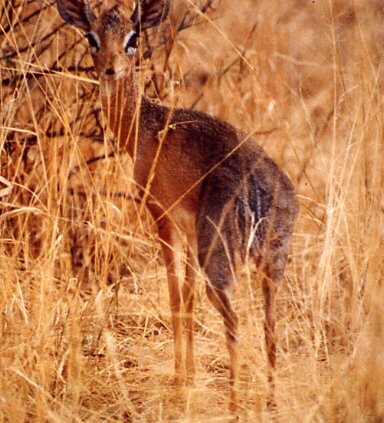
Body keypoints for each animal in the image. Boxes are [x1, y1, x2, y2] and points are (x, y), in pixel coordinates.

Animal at [55, 0, 298, 412]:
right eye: (91, 36)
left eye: (133, 38)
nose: (111, 68)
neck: (144, 126)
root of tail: (260, 190)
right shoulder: (187, 226)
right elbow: (187, 297)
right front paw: (189, 374)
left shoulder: (161, 215)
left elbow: (173, 295)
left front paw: (181, 380)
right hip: (272, 262)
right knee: (270, 323)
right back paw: (269, 399)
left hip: (220, 260)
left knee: (235, 320)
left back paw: (235, 404)